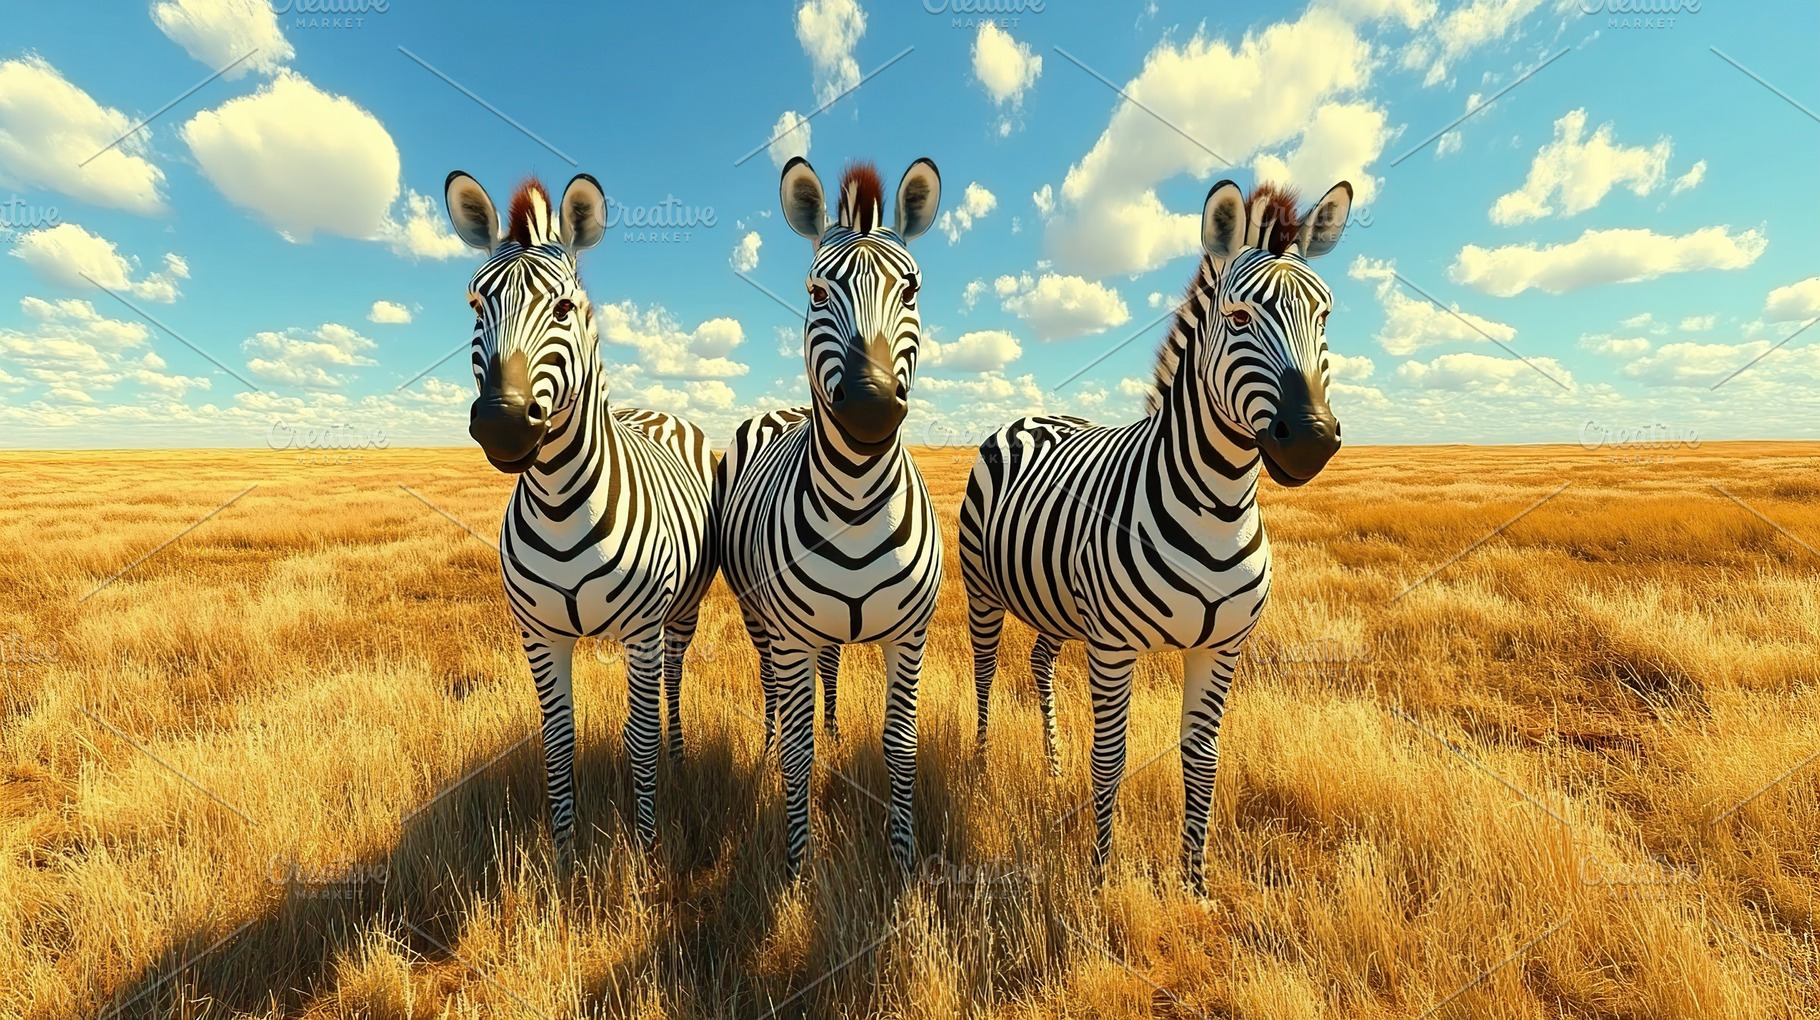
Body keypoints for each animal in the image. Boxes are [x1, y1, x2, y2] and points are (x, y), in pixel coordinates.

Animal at [442, 171, 717, 863]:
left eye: (565, 309)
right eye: (476, 307)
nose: (503, 423)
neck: (562, 501)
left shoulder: (642, 631)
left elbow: (639, 736)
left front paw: (645, 848)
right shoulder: (540, 636)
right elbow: (558, 742)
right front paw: (565, 853)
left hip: (681, 611)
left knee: (672, 683)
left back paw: (678, 759)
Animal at [718, 158, 944, 879]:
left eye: (913, 288)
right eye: (817, 291)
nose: (869, 405)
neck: (856, 501)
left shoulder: (911, 635)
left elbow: (900, 741)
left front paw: (901, 858)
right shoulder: (789, 632)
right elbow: (797, 749)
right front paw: (797, 864)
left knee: (830, 669)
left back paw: (835, 728)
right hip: (758, 612)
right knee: (774, 690)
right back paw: (768, 746)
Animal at [957, 179, 1353, 894]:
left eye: (1325, 316)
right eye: (1238, 320)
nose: (1310, 439)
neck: (1218, 507)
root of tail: (1029, 414)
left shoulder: (1221, 649)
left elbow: (1202, 759)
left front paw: (1195, 887)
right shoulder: (1115, 646)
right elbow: (1111, 756)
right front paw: (1101, 879)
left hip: (1059, 604)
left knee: (1039, 663)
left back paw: (1053, 769)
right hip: (983, 590)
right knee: (984, 671)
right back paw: (979, 767)